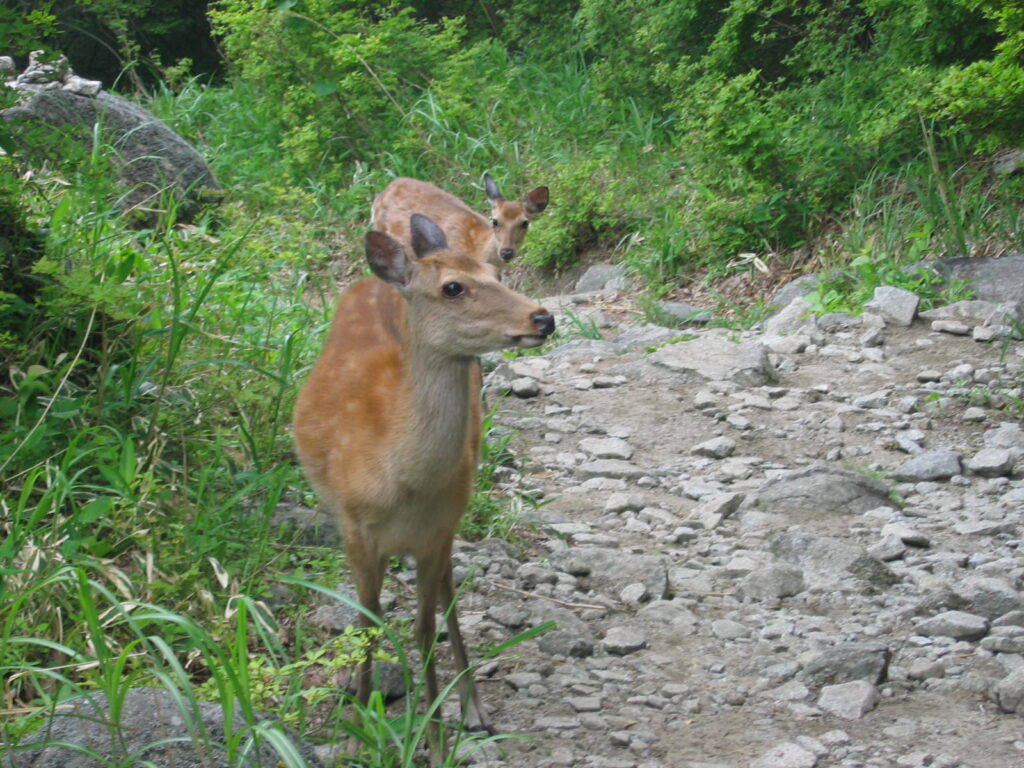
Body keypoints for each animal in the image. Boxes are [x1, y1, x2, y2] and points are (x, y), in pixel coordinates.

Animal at [292, 214, 557, 761]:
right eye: (453, 287)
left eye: (494, 272)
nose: (543, 318)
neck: (398, 478)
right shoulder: (353, 527)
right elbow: (367, 625)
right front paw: (356, 736)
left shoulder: (438, 527)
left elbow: (425, 628)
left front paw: (435, 743)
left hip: (455, 511)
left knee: (449, 595)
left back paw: (474, 709)